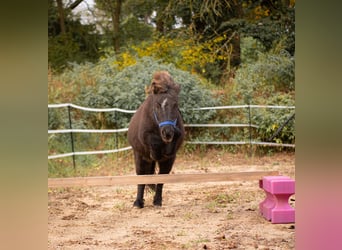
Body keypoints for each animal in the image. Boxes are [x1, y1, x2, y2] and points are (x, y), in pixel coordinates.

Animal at [127, 71, 184, 208]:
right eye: (157, 105)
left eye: (175, 105)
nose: (167, 133)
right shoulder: (146, 138)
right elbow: (153, 143)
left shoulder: (170, 156)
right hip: (139, 156)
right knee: (141, 176)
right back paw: (138, 202)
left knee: (159, 176)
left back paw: (157, 200)